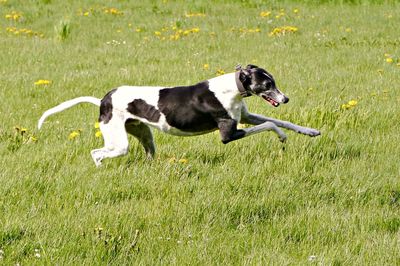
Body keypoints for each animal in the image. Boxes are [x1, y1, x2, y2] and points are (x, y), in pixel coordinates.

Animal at [36, 64, 318, 166]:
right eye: (267, 84)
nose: (285, 98)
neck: (232, 88)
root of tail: (103, 101)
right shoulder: (229, 133)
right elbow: (270, 124)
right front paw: (282, 138)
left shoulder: (245, 118)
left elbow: (280, 120)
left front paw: (310, 131)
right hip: (118, 142)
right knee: (97, 153)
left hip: (144, 135)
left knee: (147, 152)